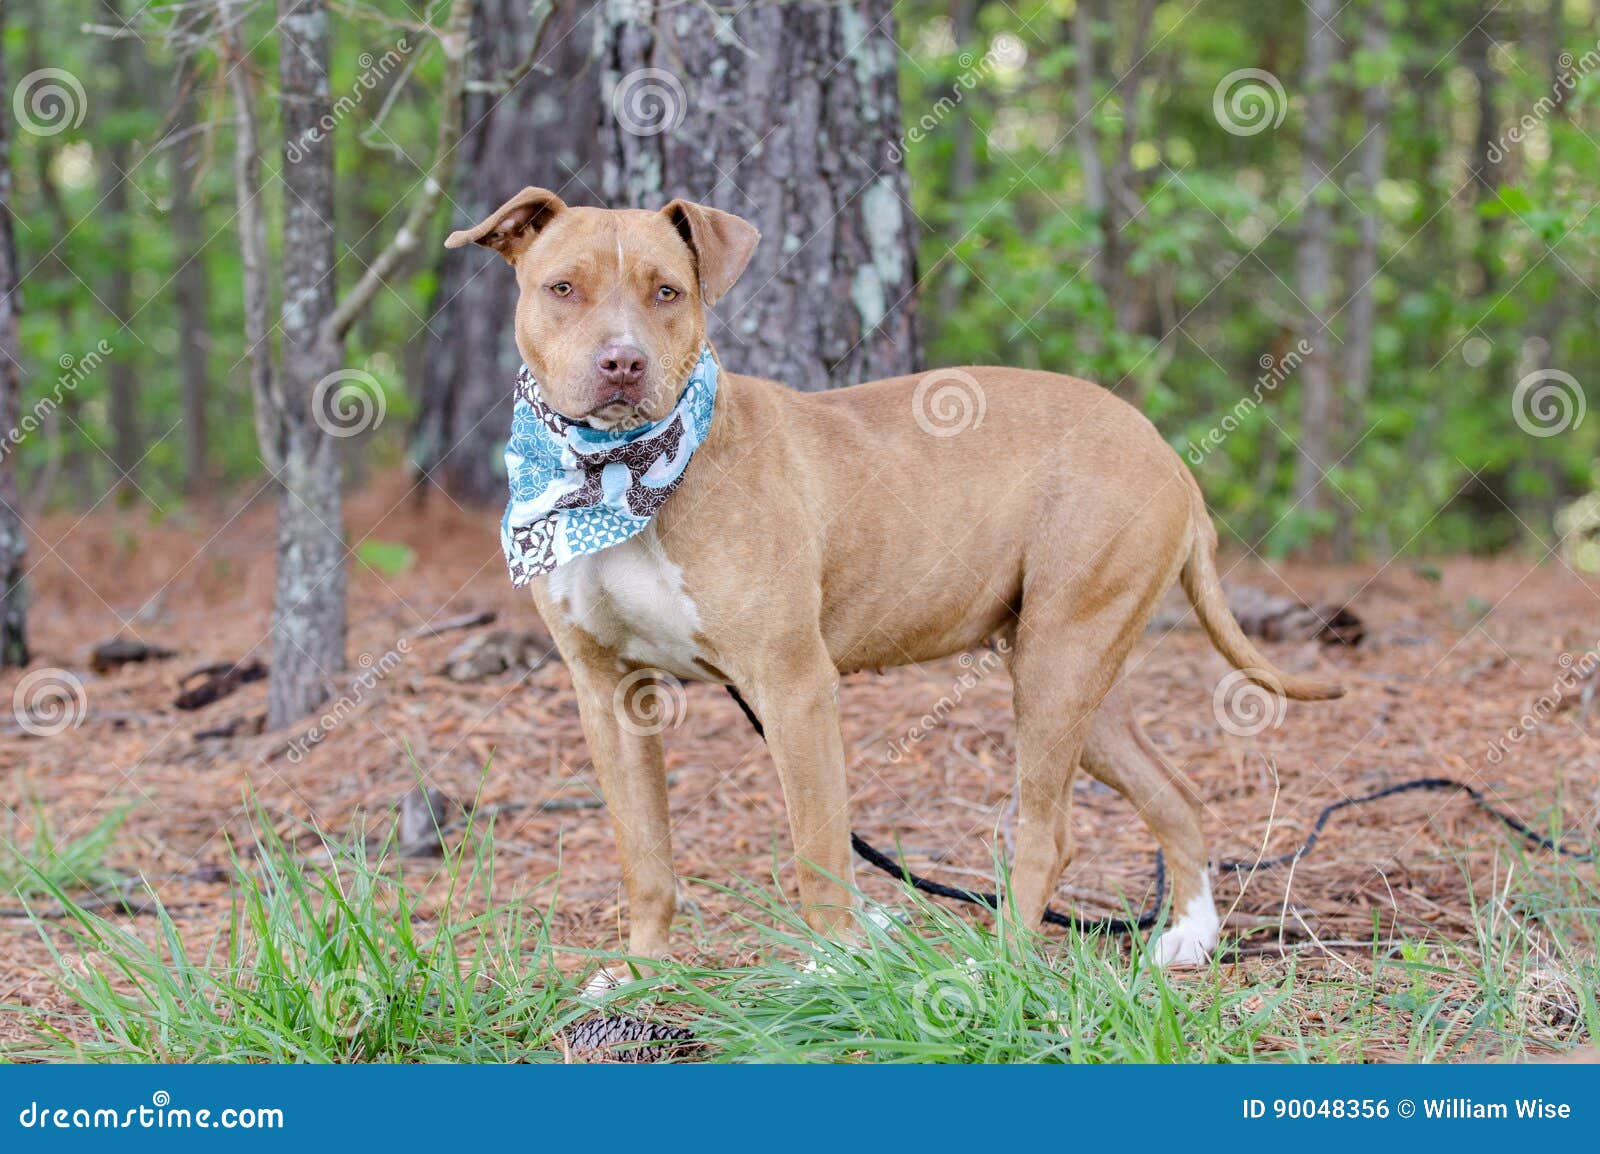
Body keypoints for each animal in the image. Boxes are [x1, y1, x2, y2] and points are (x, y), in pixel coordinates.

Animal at [444, 188, 1344, 973]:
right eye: (563, 288)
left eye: (668, 291)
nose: (623, 361)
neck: (621, 476)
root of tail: (1164, 450)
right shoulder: (609, 695)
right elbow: (646, 858)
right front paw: (643, 975)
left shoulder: (793, 687)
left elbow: (817, 851)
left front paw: (830, 973)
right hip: (1077, 675)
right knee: (1174, 792)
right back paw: (1191, 935)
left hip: (1059, 664)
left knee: (1050, 835)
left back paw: (998, 972)